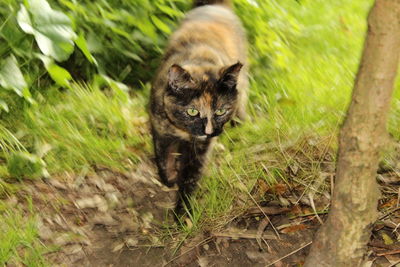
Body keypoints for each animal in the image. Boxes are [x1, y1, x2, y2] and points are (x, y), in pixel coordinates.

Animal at [150, 0, 247, 216]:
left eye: (220, 111)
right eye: (192, 111)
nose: (209, 131)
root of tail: (216, 5)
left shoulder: (201, 150)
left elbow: (190, 178)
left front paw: (183, 215)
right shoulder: (159, 129)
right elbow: (162, 158)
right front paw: (170, 177)